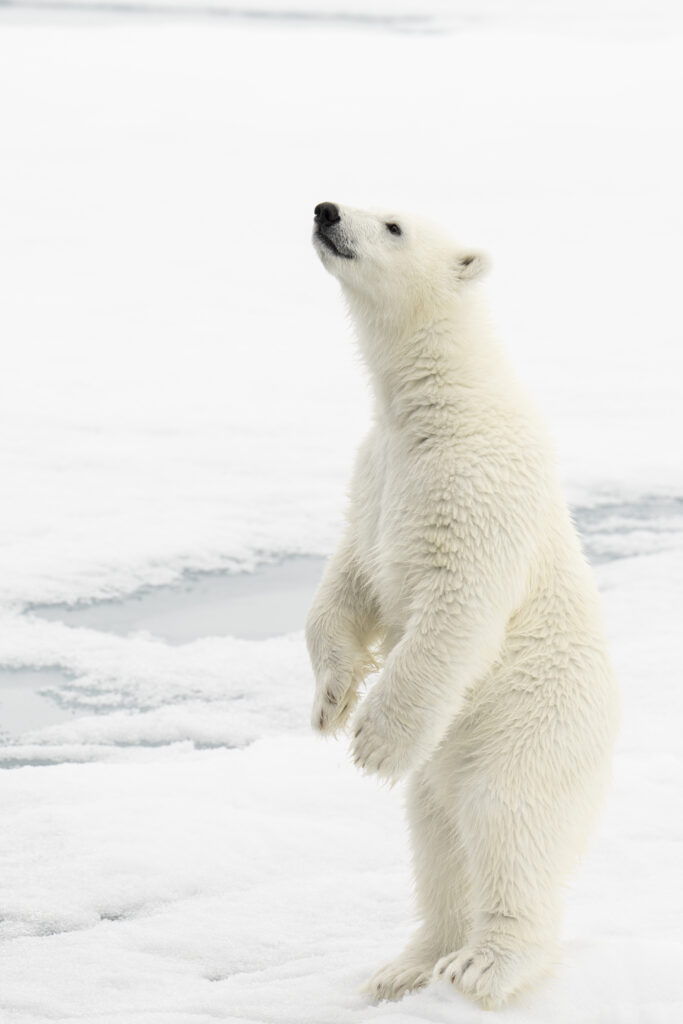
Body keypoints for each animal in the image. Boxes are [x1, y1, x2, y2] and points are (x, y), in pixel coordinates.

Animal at [305, 199, 618, 1007]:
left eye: (392, 225)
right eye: (356, 202)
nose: (325, 210)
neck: (438, 398)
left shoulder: (472, 477)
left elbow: (458, 604)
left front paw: (374, 739)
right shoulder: (378, 473)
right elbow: (350, 577)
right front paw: (330, 698)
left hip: (527, 726)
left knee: (508, 825)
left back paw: (486, 964)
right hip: (448, 760)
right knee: (435, 838)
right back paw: (408, 964)